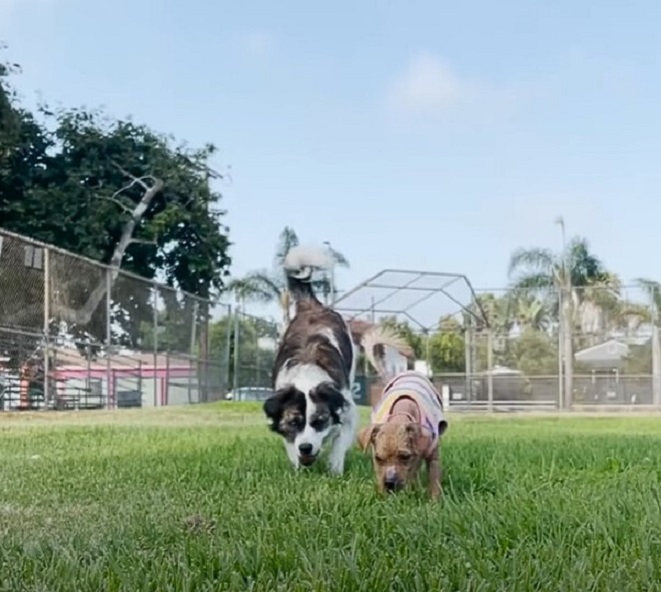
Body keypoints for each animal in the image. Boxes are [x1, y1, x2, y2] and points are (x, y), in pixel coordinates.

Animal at [264, 245, 398, 476]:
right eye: (293, 422)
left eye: (319, 421)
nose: (305, 447)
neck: (307, 377)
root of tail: (312, 305)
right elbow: (290, 445)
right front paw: (298, 467)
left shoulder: (347, 408)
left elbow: (339, 443)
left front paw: (335, 470)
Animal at [358, 328, 446, 500]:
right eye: (378, 458)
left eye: (404, 457)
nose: (389, 484)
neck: (402, 412)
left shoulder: (432, 455)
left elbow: (433, 480)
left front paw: (434, 501)